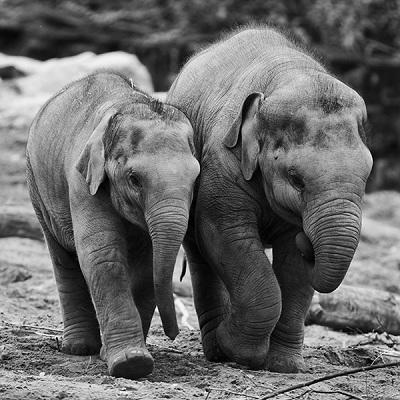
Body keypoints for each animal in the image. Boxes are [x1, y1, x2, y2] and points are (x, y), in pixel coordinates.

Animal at [25, 71, 199, 378]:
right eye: (134, 179)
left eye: (195, 180)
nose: (174, 334)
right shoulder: (81, 181)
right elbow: (103, 255)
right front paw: (132, 363)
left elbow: (147, 267)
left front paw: (118, 356)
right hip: (37, 188)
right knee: (62, 258)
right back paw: (79, 348)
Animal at [167, 27, 374, 372]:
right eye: (296, 179)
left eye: (367, 175)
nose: (308, 241)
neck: (287, 77)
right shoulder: (222, 159)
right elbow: (225, 235)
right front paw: (239, 350)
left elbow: (293, 265)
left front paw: (284, 366)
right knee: (200, 255)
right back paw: (217, 350)